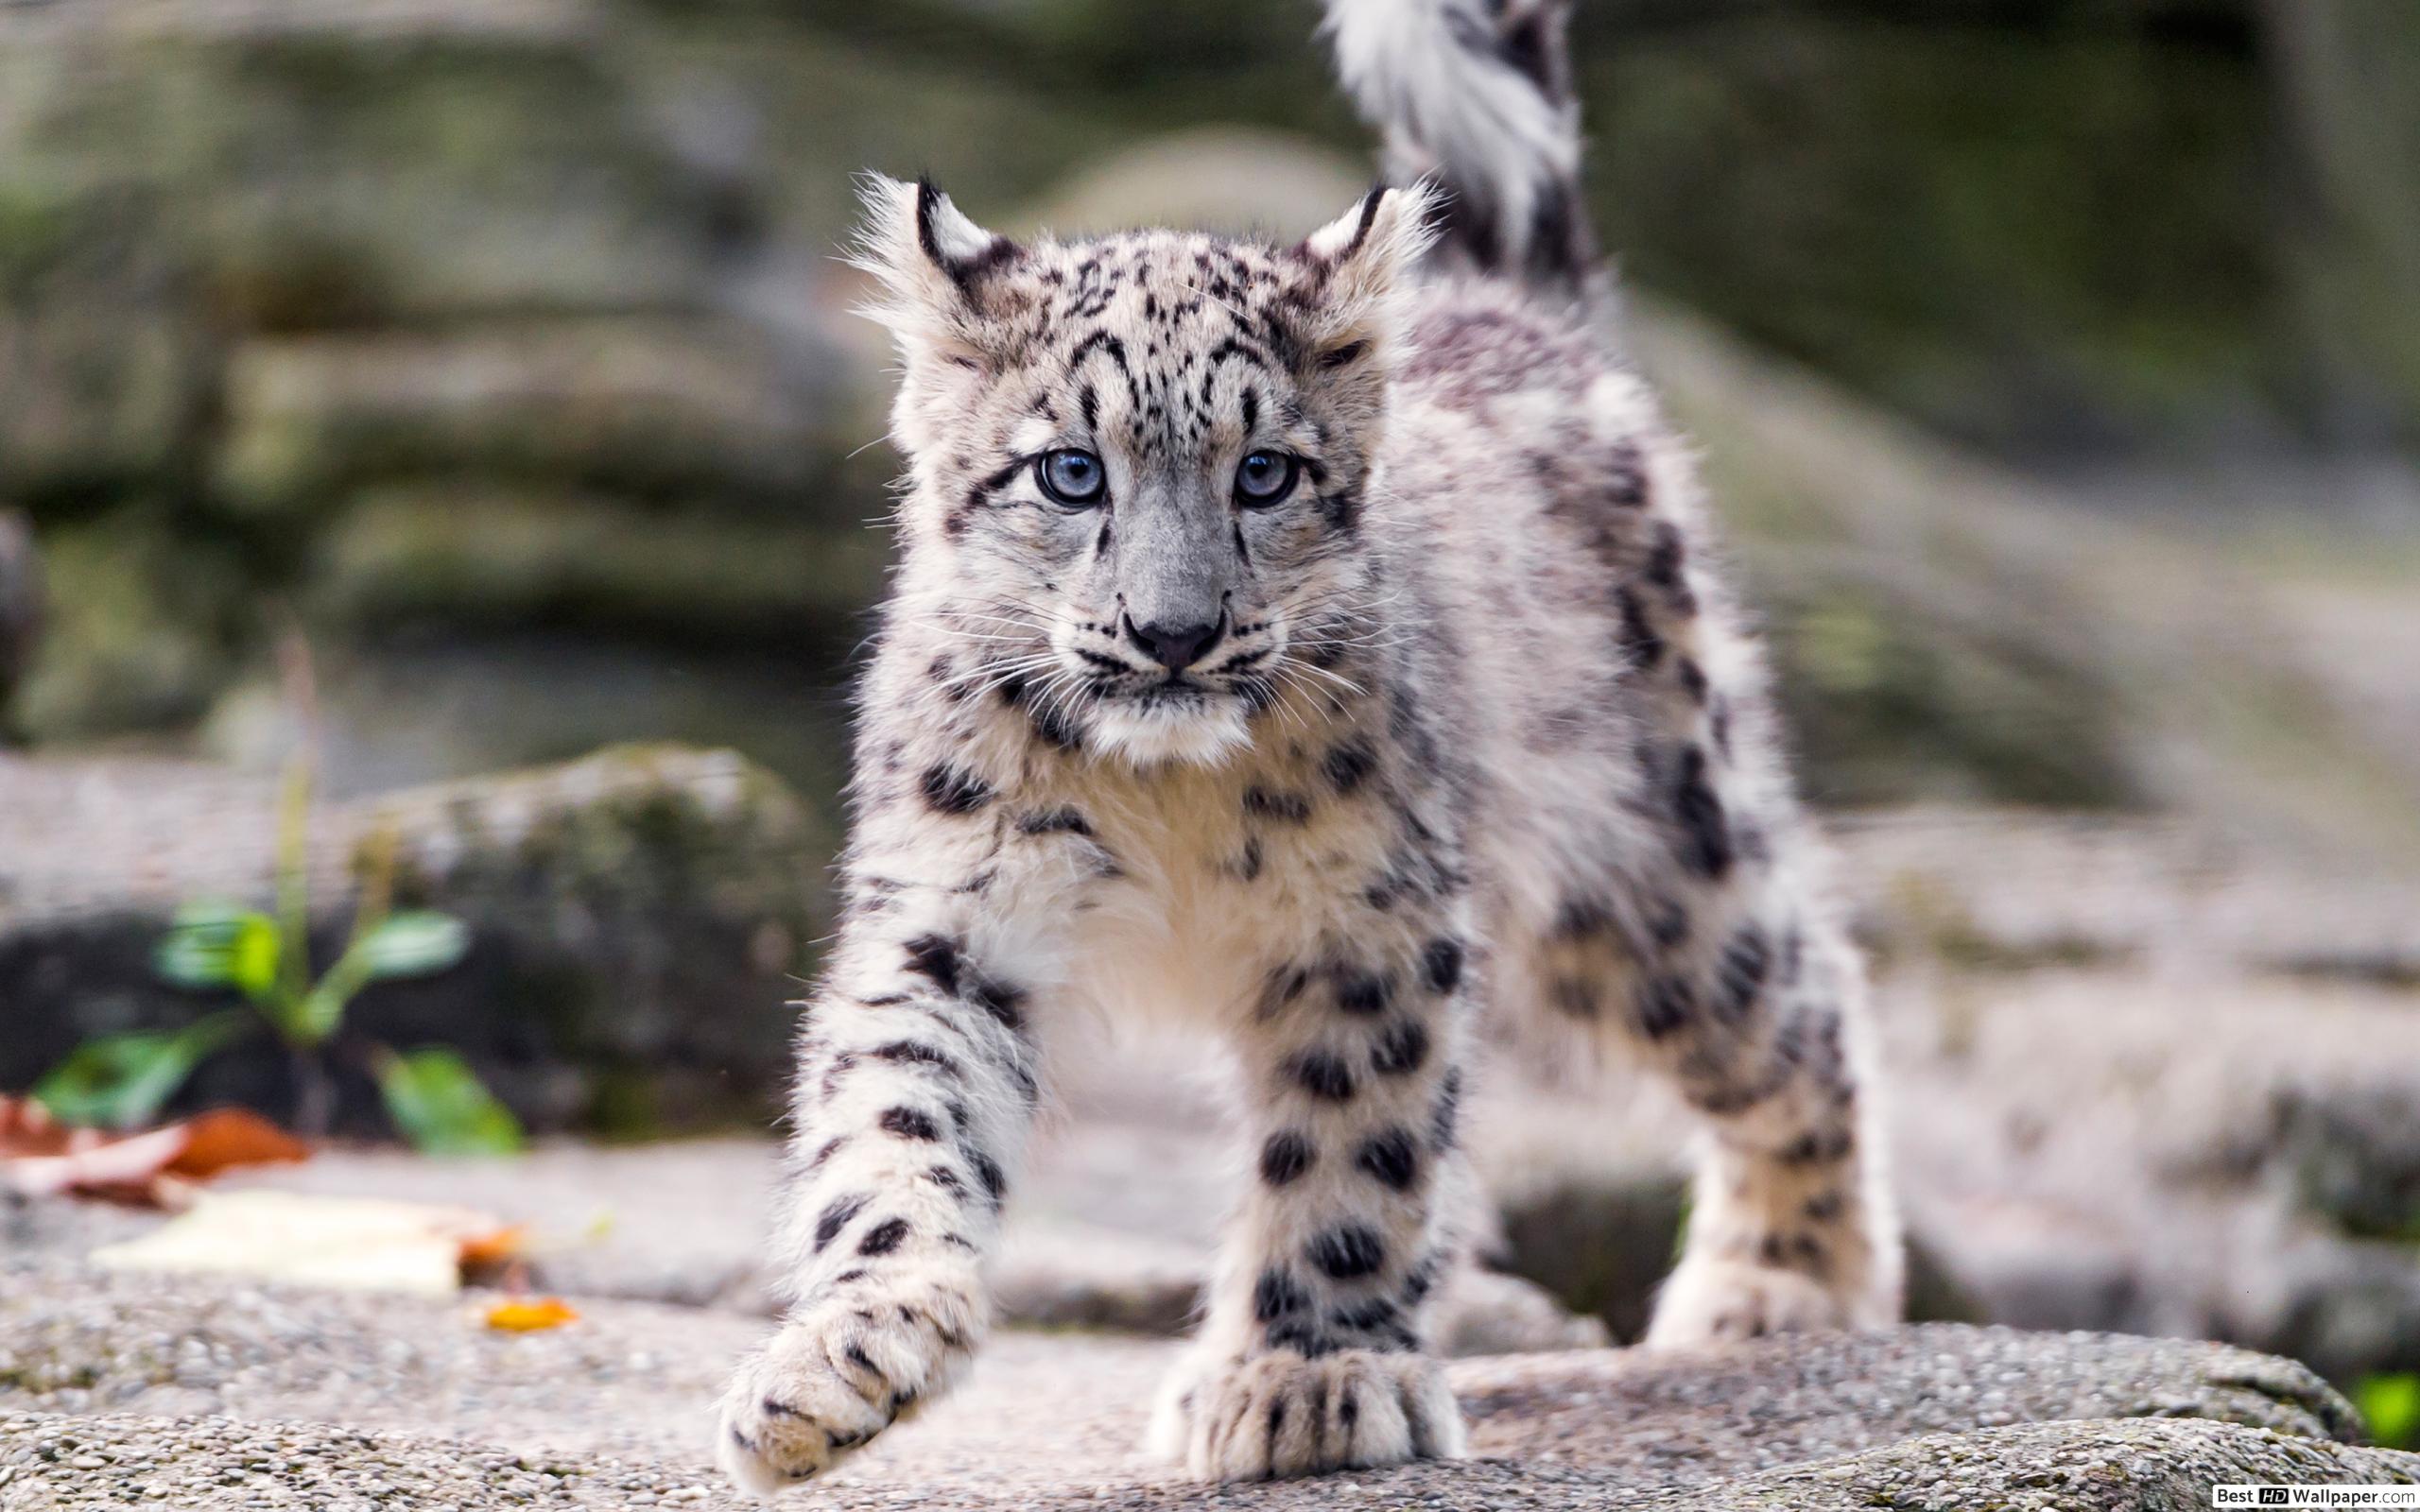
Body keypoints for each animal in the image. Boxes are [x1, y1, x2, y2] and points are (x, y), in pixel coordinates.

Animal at [716, 0, 1902, 1493]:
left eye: (1264, 472)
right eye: (1070, 472)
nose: (1171, 631)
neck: (1162, 798)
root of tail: (1515, 316)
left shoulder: (1366, 921)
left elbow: (1350, 1141)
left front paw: (1311, 1378)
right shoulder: (954, 907)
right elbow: (897, 1120)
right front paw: (842, 1359)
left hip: (1646, 880)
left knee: (1801, 1005)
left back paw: (1781, 1279)